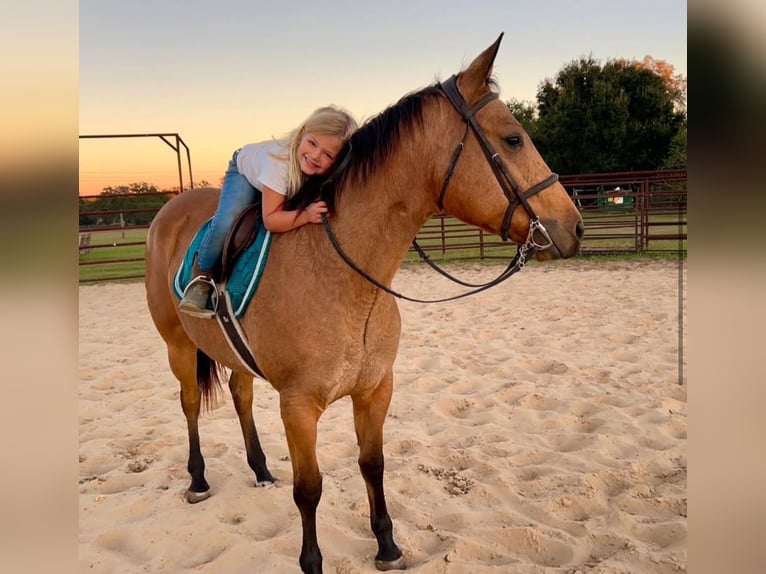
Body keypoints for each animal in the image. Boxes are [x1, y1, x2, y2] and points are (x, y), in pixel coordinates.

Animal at [147, 33, 584, 572]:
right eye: (514, 139)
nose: (574, 226)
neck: (345, 279)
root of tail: (169, 208)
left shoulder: (375, 390)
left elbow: (372, 465)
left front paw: (387, 544)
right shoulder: (298, 407)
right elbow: (309, 489)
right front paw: (312, 560)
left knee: (240, 394)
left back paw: (260, 469)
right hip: (178, 346)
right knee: (189, 403)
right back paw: (198, 478)